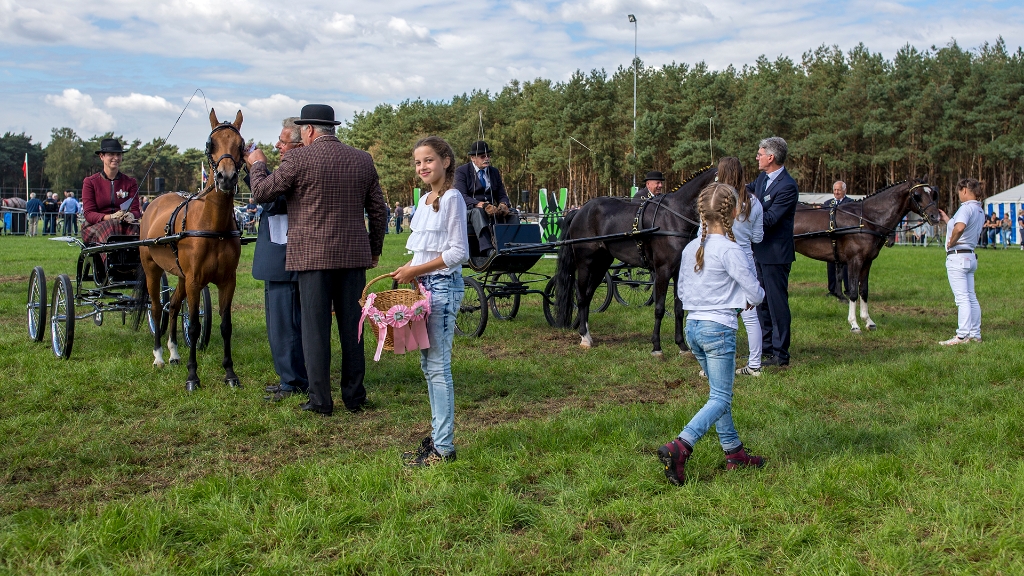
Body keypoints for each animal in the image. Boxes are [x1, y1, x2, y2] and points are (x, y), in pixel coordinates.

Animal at [131, 108, 244, 389]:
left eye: (241, 145)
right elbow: (193, 326)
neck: (213, 226)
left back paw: (173, 352)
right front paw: (193, 376)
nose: (226, 178)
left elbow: (226, 325)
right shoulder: (195, 281)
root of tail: (155, 201)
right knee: (156, 308)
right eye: (210, 144)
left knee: (172, 307)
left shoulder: (227, 281)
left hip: (181, 276)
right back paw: (159, 356)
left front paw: (230, 373)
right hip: (152, 270)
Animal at [557, 166, 716, 352]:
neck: (675, 217)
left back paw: (588, 333)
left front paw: (682, 345)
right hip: (585, 263)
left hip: (601, 263)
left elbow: (679, 309)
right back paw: (584, 336)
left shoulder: (678, 271)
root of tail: (579, 210)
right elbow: (659, 308)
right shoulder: (663, 270)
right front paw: (656, 346)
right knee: (581, 295)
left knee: (588, 295)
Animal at [790, 178, 942, 332]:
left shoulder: (867, 262)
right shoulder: (854, 261)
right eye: (917, 195)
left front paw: (868, 321)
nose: (936, 216)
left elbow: (864, 290)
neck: (866, 219)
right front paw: (854, 324)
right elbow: (853, 292)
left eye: (933, 194)